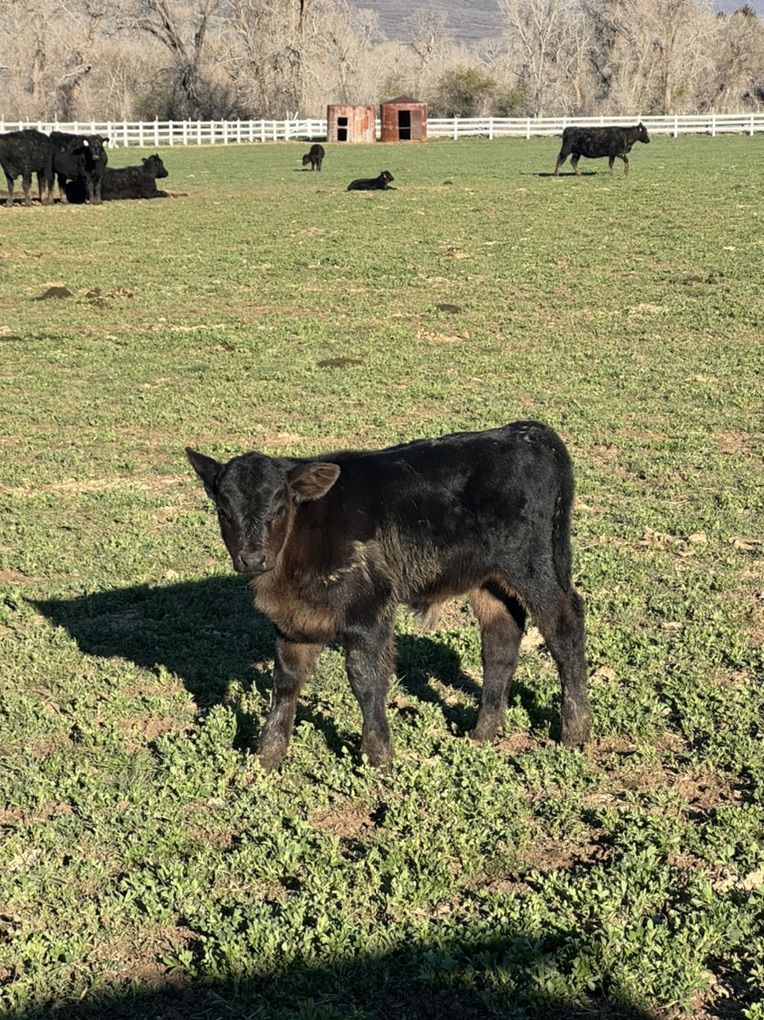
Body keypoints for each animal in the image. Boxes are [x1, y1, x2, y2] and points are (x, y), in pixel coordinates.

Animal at [186, 421, 592, 772]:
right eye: (223, 509)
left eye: (280, 507)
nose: (253, 558)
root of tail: (526, 431)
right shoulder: (292, 622)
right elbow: (285, 684)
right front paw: (267, 758)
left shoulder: (368, 609)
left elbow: (365, 680)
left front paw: (377, 756)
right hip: (487, 579)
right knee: (501, 639)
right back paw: (482, 733)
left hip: (533, 565)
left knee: (564, 623)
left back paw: (575, 731)